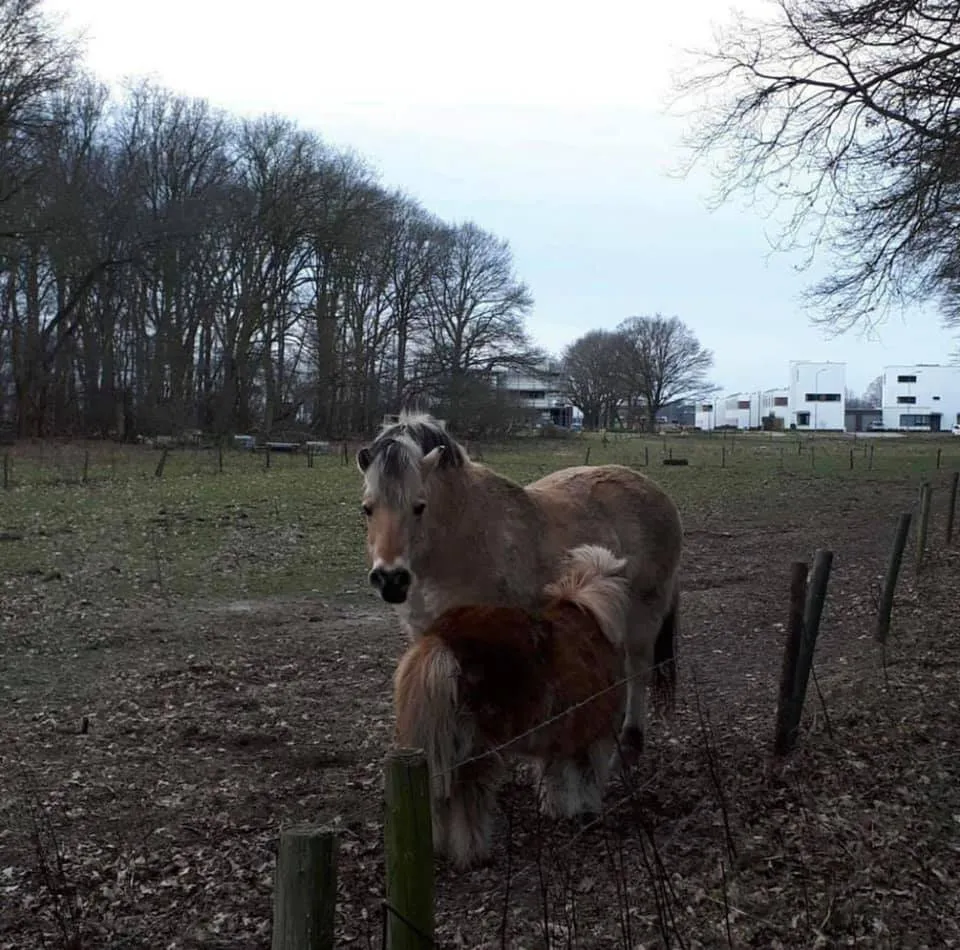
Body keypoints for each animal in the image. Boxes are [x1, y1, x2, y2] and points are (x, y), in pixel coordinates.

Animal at [356, 411, 683, 760]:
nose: (391, 579)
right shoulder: (426, 633)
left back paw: (632, 738)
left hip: (644, 611)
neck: (460, 537)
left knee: (638, 669)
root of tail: (656, 492)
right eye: (367, 508)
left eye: (419, 506)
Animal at [393, 543, 632, 869]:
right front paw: (587, 810)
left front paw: (555, 809)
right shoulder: (593, 734)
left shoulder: (555, 735)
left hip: (436, 747)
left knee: (435, 798)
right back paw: (473, 853)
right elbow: (587, 777)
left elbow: (553, 775)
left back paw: (437, 848)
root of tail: (440, 642)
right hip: (476, 748)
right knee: (468, 801)